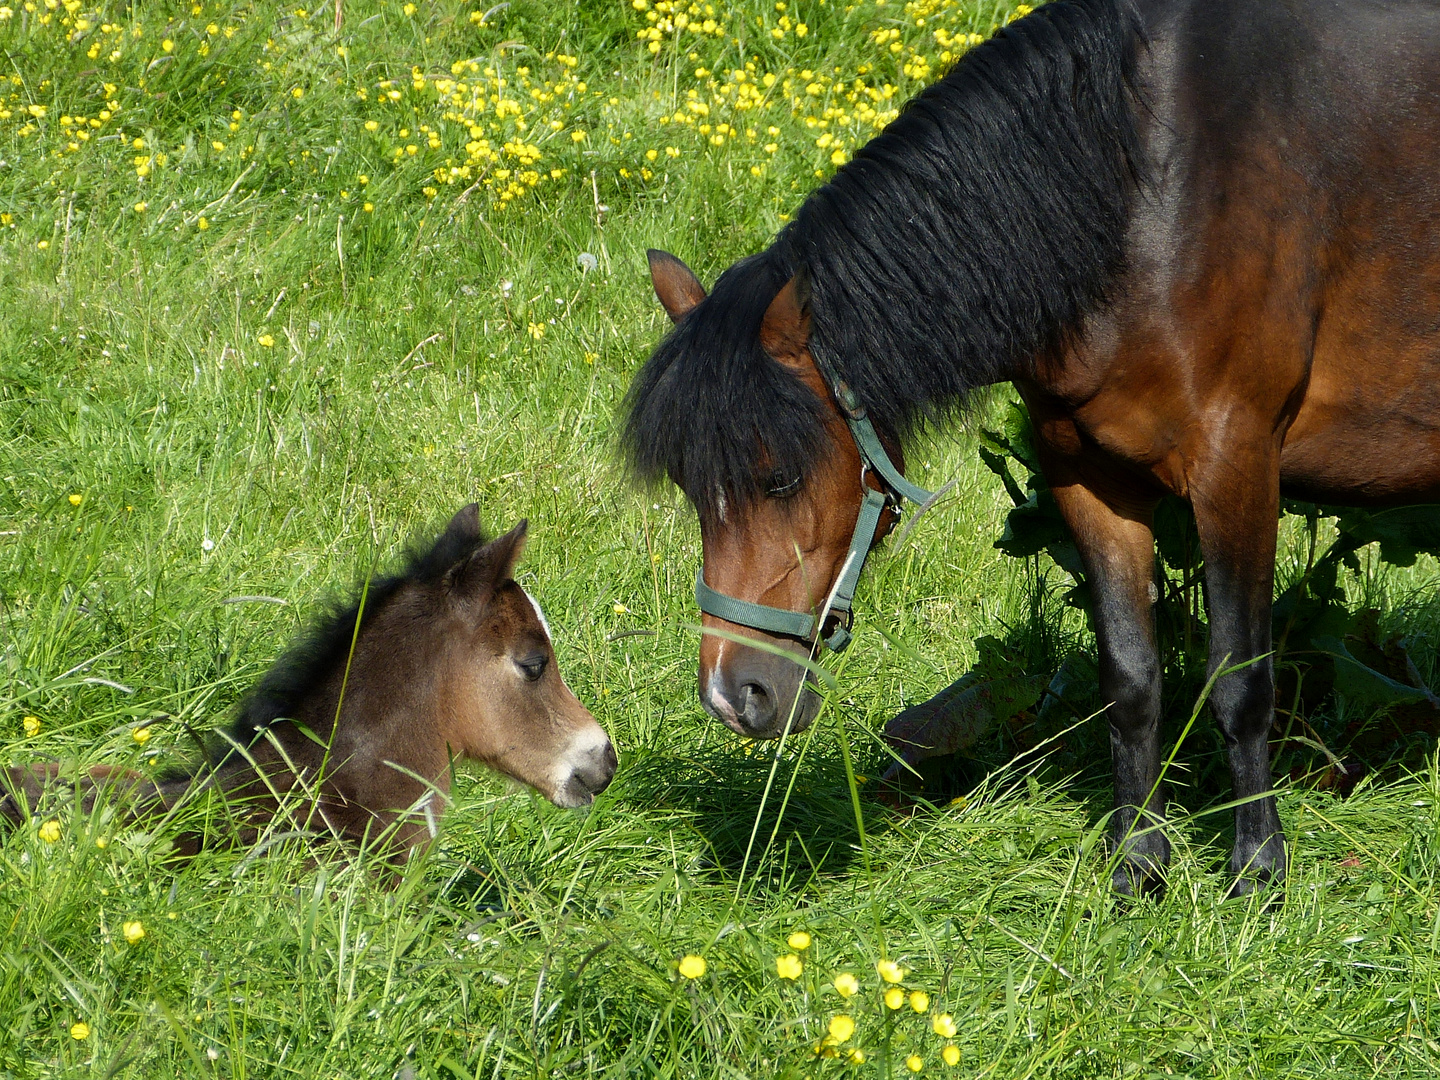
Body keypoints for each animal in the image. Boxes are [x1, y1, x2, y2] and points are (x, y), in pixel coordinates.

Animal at [624, 0, 1440, 898]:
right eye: (693, 491)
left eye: (777, 480)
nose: (732, 697)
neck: (1143, 187)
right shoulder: (1087, 477)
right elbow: (1130, 679)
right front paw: (1137, 864)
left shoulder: (1238, 467)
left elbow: (1239, 682)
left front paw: (1257, 870)